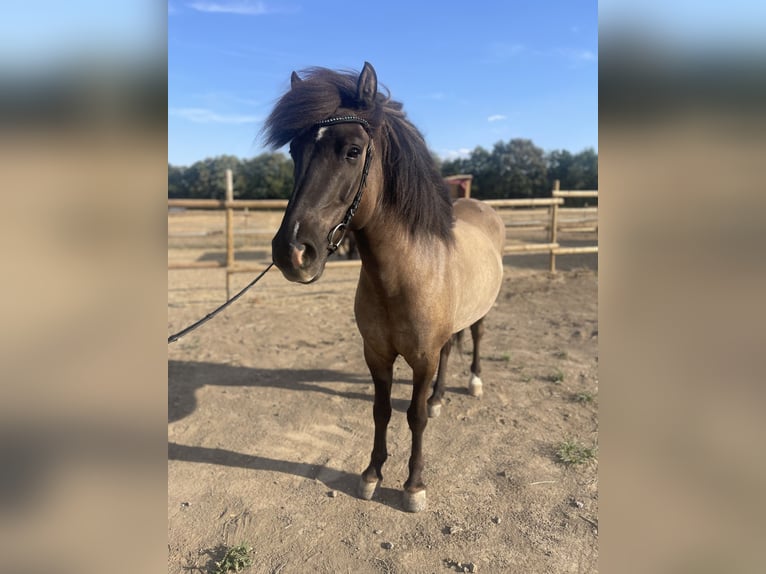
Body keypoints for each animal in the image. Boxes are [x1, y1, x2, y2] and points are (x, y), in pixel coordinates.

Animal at [264, 62, 505, 512]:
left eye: (353, 151)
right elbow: (381, 411)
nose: (292, 252)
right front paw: (372, 473)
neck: (403, 275)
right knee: (451, 350)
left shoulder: (422, 358)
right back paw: (440, 397)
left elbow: (414, 416)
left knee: (478, 337)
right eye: (294, 152)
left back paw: (474, 383)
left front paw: (414, 485)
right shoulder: (376, 354)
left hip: (482, 311)